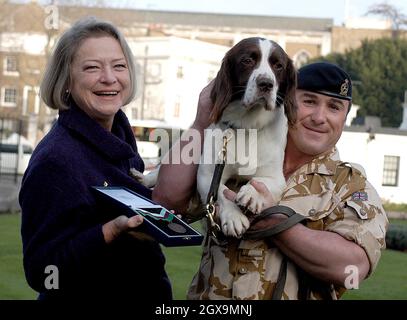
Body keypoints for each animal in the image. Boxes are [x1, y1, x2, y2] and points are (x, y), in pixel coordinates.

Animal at [199, 37, 298, 238]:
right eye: (247, 60)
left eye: (278, 65)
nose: (266, 84)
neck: (248, 126)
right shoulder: (207, 175)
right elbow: (220, 191)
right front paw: (233, 217)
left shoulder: (275, 176)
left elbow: (260, 181)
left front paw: (252, 194)